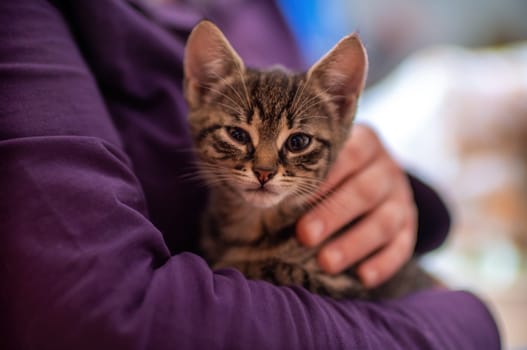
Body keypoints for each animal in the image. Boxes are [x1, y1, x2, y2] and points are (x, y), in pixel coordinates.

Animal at [184, 19, 432, 298]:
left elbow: (276, 269)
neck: (250, 225)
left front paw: (234, 263)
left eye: (298, 142)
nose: (263, 172)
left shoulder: (352, 284)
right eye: (237, 134)